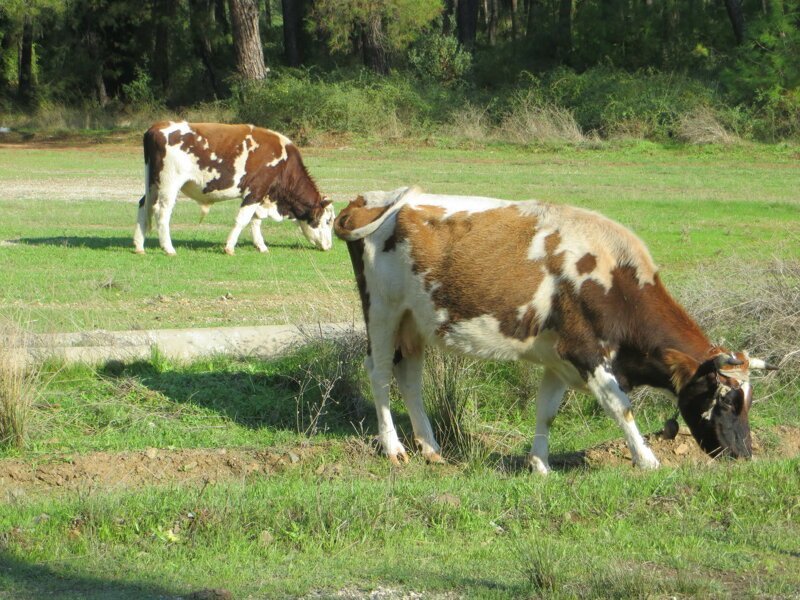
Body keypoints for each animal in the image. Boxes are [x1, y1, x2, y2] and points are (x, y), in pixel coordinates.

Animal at [133, 120, 332, 254]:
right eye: (328, 221)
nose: (330, 246)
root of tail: (157, 127)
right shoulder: (255, 191)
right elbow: (243, 219)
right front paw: (229, 247)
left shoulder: (261, 196)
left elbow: (255, 220)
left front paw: (261, 246)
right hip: (169, 183)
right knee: (162, 212)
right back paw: (168, 248)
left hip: (152, 183)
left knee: (144, 205)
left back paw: (139, 245)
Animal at [334, 186, 780, 468]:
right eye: (726, 400)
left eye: (749, 401)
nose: (744, 455)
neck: (613, 277)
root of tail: (371, 199)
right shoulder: (587, 353)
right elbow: (621, 407)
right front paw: (648, 461)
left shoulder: (557, 359)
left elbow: (546, 411)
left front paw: (540, 465)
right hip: (383, 310)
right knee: (379, 373)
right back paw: (393, 447)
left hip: (415, 321)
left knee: (409, 376)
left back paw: (430, 448)